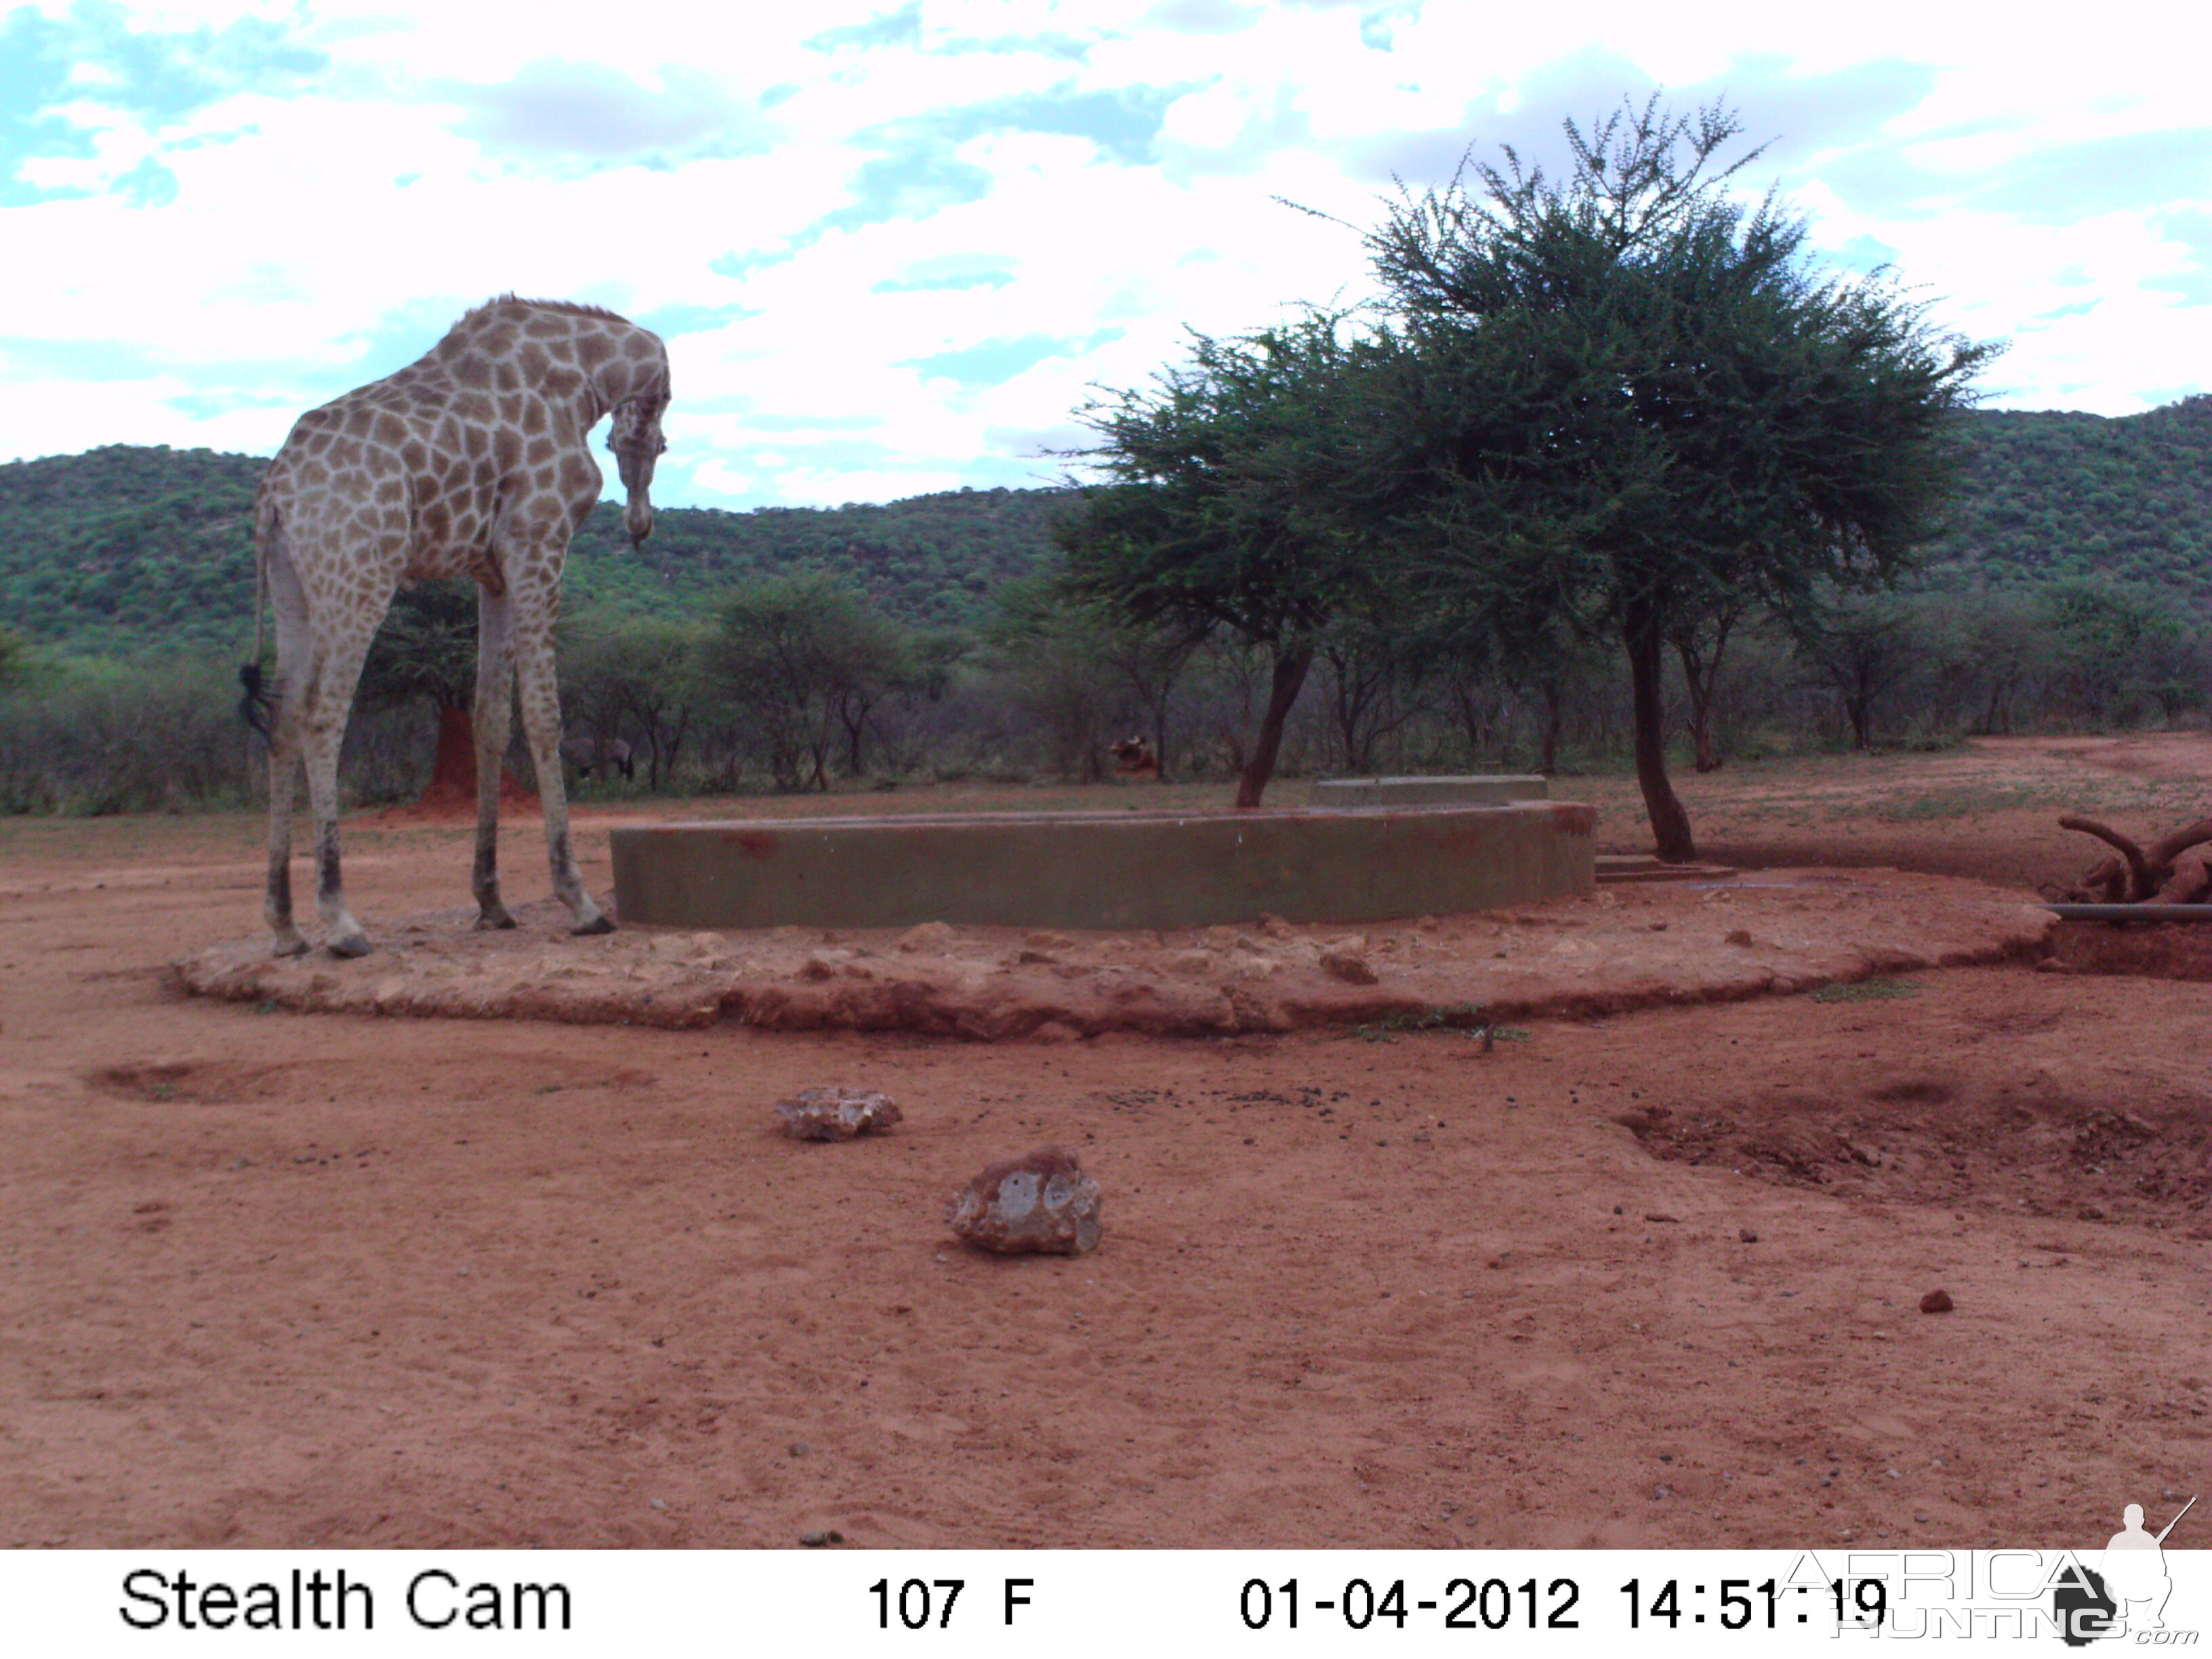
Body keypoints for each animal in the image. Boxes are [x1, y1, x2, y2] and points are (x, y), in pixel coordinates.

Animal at [247, 291, 668, 956]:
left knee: (283, 718)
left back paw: (286, 925)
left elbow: (490, 718)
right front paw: (580, 901)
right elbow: (544, 715)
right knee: (322, 716)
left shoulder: (491, 571)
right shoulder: (538, 540)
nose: (641, 523)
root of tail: (275, 495)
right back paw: (341, 920)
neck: (579, 378)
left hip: (294, 590)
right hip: (360, 576)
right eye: (657, 446)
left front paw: (492, 901)